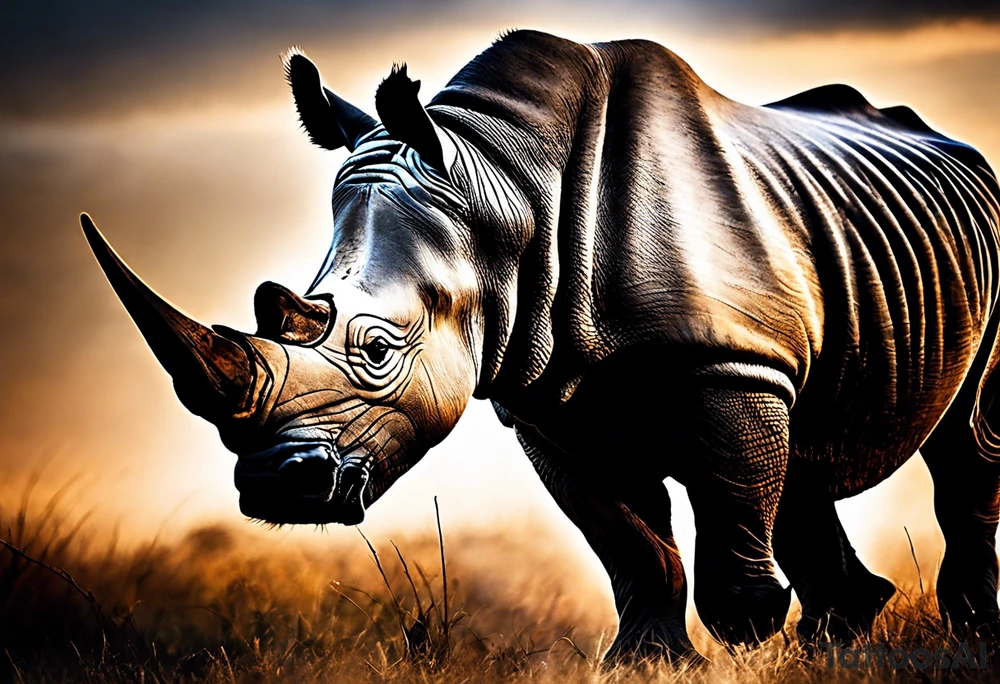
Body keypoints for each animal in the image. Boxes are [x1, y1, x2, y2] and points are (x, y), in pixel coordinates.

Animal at [83, 30, 1000, 661]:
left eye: (377, 350)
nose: (279, 484)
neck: (504, 188)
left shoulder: (730, 360)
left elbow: (729, 529)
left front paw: (752, 647)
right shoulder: (548, 400)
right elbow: (630, 543)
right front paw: (648, 664)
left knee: (964, 442)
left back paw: (963, 636)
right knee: (802, 453)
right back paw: (846, 635)